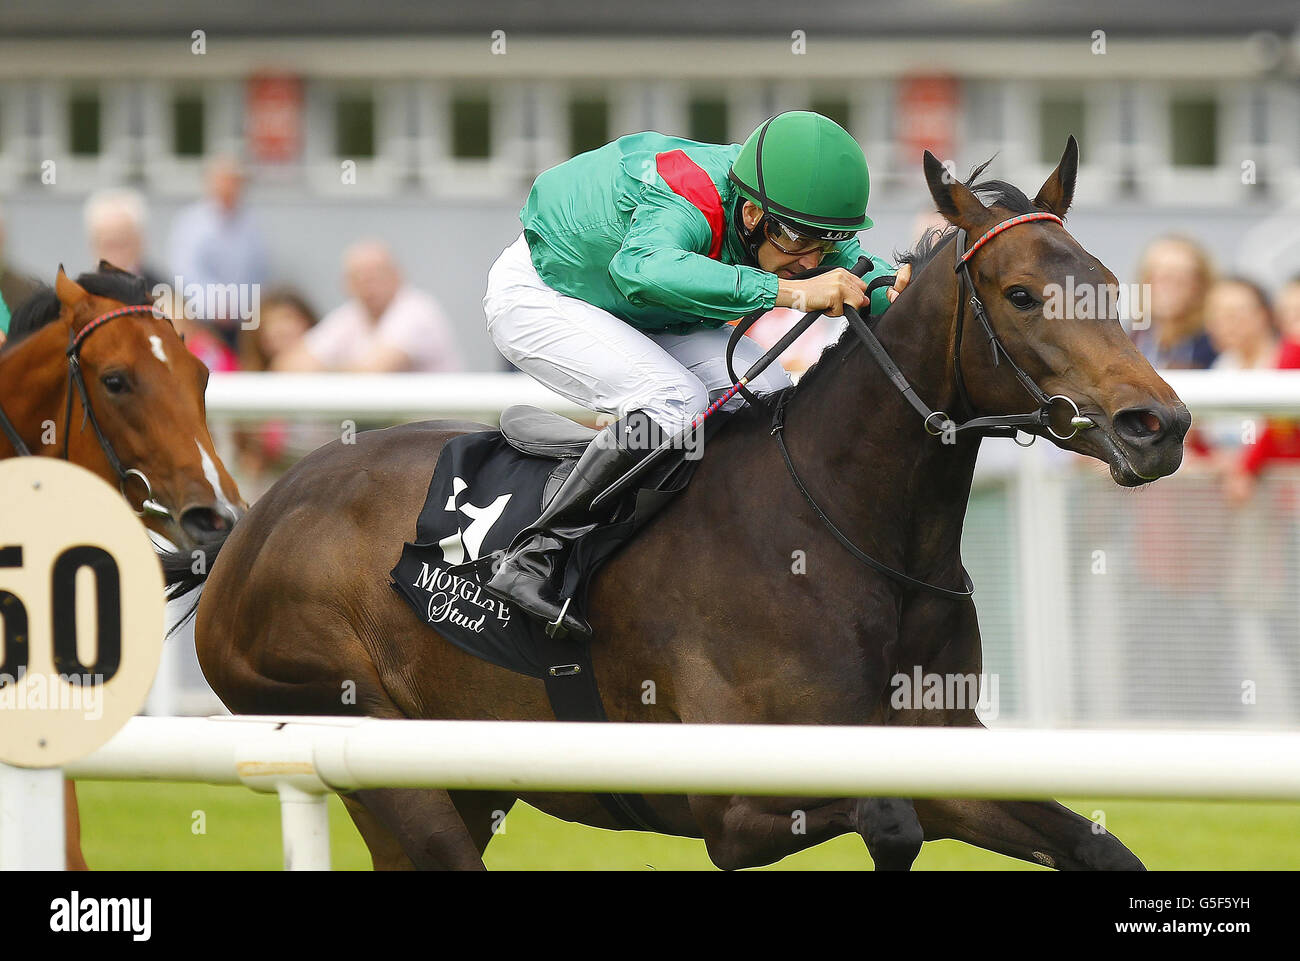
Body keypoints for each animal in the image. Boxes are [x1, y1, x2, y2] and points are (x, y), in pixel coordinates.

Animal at [178, 138, 1189, 870]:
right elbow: (890, 820)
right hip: (372, 753)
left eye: (1105, 280)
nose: (1160, 425)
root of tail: (253, 524)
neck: (845, 529)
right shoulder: (734, 802)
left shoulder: (942, 747)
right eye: (1020, 293)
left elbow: (1099, 847)